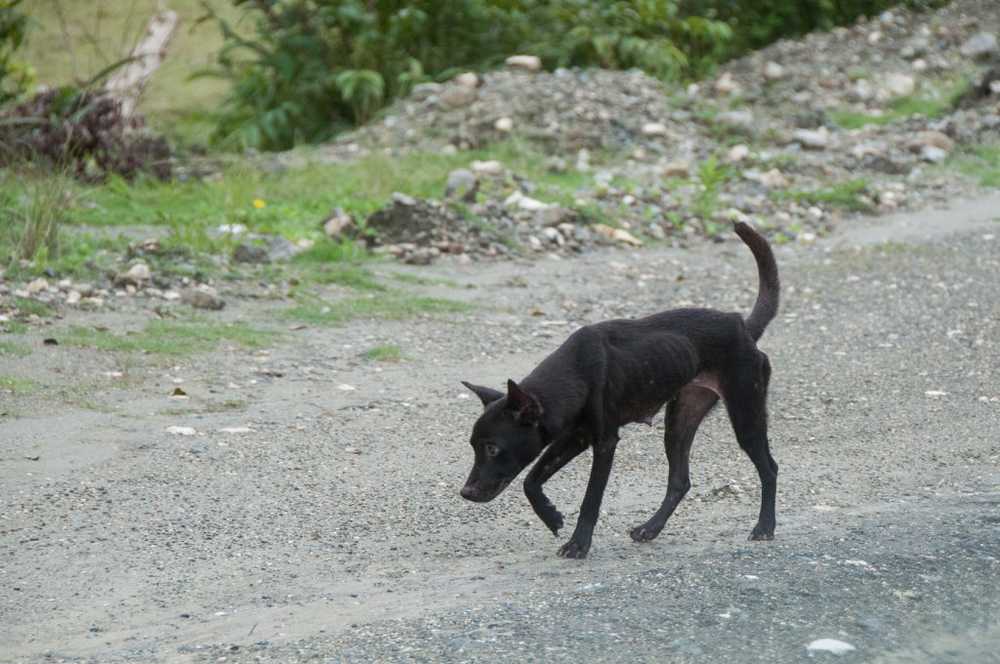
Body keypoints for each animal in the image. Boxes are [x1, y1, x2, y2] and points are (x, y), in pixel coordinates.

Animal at [460, 220, 780, 556]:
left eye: (492, 448)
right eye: (472, 446)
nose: (465, 492)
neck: (575, 374)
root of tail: (743, 327)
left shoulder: (604, 443)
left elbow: (590, 499)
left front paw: (578, 544)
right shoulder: (573, 438)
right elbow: (531, 480)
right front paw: (551, 517)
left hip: (746, 414)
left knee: (769, 468)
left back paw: (765, 526)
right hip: (680, 420)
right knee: (680, 480)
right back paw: (650, 528)